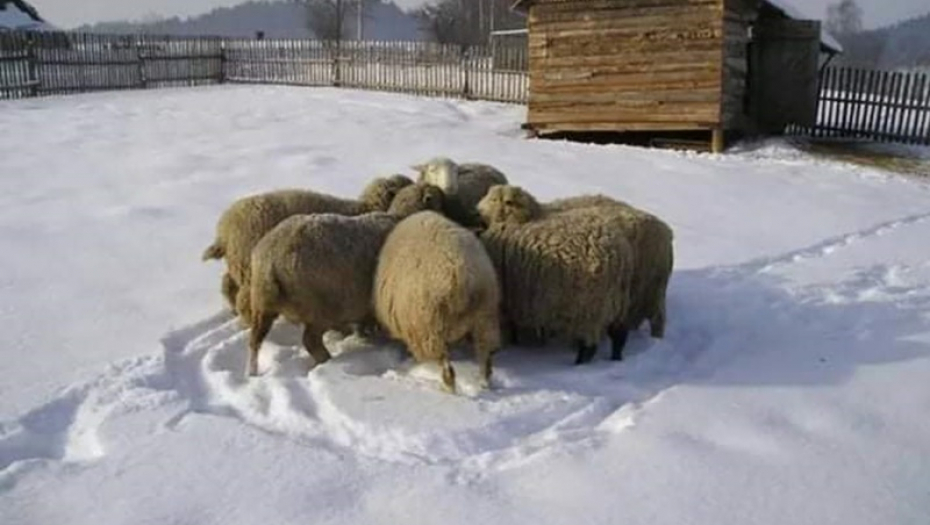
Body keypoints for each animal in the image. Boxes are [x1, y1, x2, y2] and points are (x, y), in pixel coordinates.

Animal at [201, 174, 412, 320]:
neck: (364, 207)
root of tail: (224, 232)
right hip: (250, 265)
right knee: (244, 298)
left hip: (239, 264)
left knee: (227, 284)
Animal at [239, 182, 442, 374]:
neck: (401, 217)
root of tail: (270, 264)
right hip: (319, 308)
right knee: (310, 341)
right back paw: (326, 360)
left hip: (262, 306)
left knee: (255, 340)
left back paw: (252, 371)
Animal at [372, 211, 504, 390]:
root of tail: (461, 274)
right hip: (485, 315)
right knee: (485, 354)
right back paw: (484, 381)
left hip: (430, 327)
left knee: (446, 366)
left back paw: (449, 386)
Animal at [474, 184, 636, 364]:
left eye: (495, 199)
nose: (476, 212)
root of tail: (618, 255)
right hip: (617, 300)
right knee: (619, 334)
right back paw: (616, 357)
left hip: (590, 307)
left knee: (590, 344)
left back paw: (579, 362)